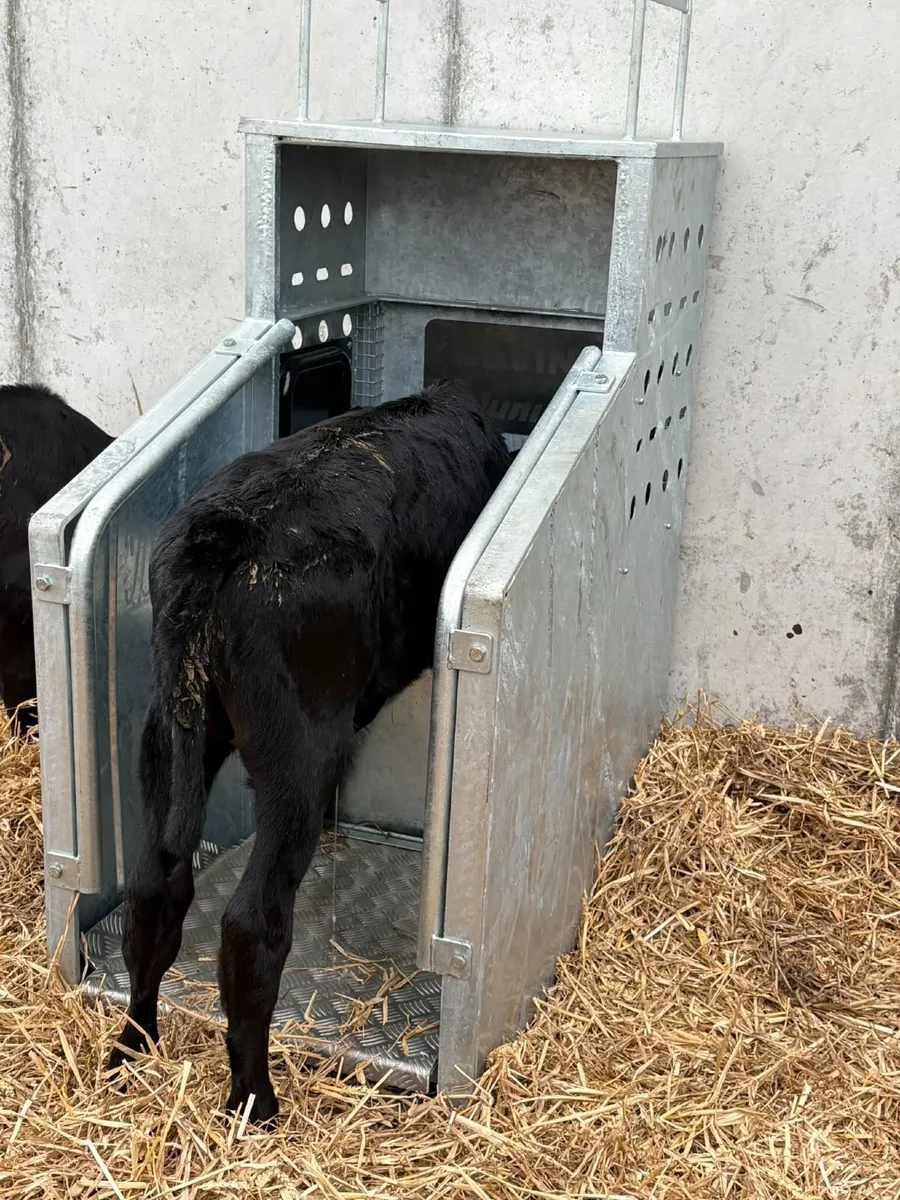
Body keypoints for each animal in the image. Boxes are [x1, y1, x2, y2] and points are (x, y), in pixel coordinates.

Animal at [107, 380, 511, 1123]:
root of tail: (222, 539)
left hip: (167, 733)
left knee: (154, 892)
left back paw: (131, 1048)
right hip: (296, 751)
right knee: (252, 923)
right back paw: (253, 1100)